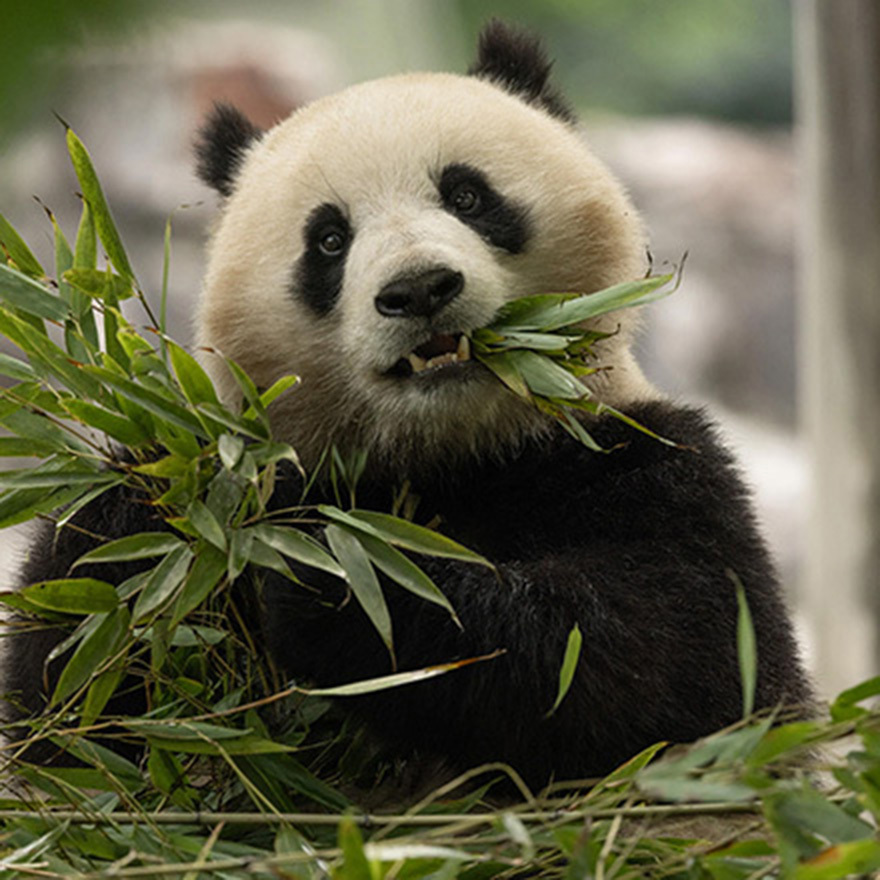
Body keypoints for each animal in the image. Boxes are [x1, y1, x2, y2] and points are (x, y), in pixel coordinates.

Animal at [5, 21, 812, 791]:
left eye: (467, 196)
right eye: (329, 239)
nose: (420, 289)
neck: (450, 452)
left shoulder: (646, 460)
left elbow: (674, 666)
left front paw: (339, 578)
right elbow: (71, 705)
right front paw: (152, 512)